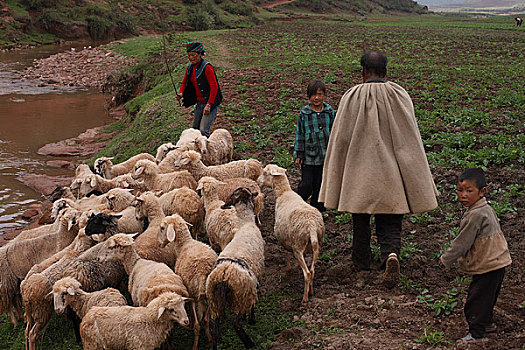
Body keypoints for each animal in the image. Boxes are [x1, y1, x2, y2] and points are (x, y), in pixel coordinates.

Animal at [159, 215, 218, 348]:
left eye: (162, 228)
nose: (159, 243)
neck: (184, 244)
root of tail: (202, 271)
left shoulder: (188, 292)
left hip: (193, 292)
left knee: (197, 325)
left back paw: (194, 345)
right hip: (209, 293)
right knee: (206, 320)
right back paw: (209, 337)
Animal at [204, 186, 262, 348]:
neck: (245, 224)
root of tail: (224, 275)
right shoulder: (254, 281)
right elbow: (253, 302)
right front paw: (252, 320)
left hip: (214, 299)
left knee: (215, 330)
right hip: (241, 295)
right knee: (237, 324)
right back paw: (249, 343)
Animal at [258, 164, 324, 304]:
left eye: (265, 173)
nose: (258, 181)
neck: (284, 193)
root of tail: (311, 226)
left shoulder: (282, 237)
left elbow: (285, 252)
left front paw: (288, 269)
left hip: (297, 246)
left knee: (307, 273)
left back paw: (304, 299)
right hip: (317, 246)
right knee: (312, 270)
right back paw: (311, 291)